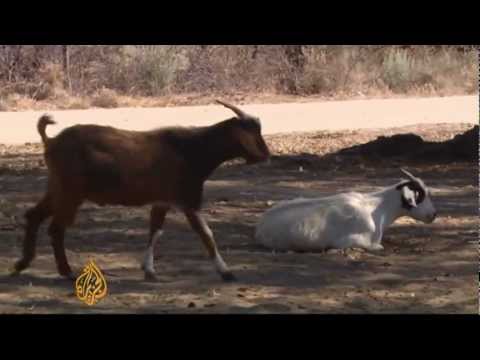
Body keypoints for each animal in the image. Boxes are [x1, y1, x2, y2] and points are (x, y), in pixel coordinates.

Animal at [12, 100, 270, 282]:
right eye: (253, 132)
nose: (266, 155)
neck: (192, 149)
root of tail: (50, 141)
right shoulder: (188, 200)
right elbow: (206, 235)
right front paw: (226, 272)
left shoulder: (163, 201)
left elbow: (155, 230)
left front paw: (149, 270)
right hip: (70, 192)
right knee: (56, 228)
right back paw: (66, 271)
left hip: (58, 188)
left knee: (34, 215)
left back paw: (23, 263)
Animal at [256, 169, 436, 252]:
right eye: (420, 196)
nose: (433, 214)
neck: (376, 207)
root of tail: (261, 224)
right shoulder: (350, 241)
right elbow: (378, 247)